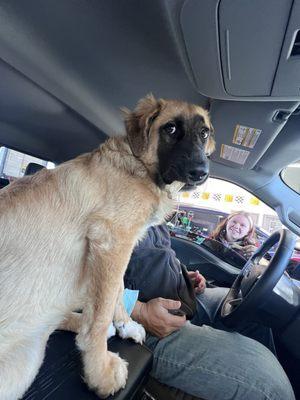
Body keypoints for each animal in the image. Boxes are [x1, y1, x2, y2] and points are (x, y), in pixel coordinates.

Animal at [0, 95, 214, 398]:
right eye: (170, 129)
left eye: (204, 133)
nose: (201, 172)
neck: (138, 167)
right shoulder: (112, 239)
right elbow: (100, 318)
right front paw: (99, 371)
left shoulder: (117, 247)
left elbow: (118, 290)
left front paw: (126, 325)